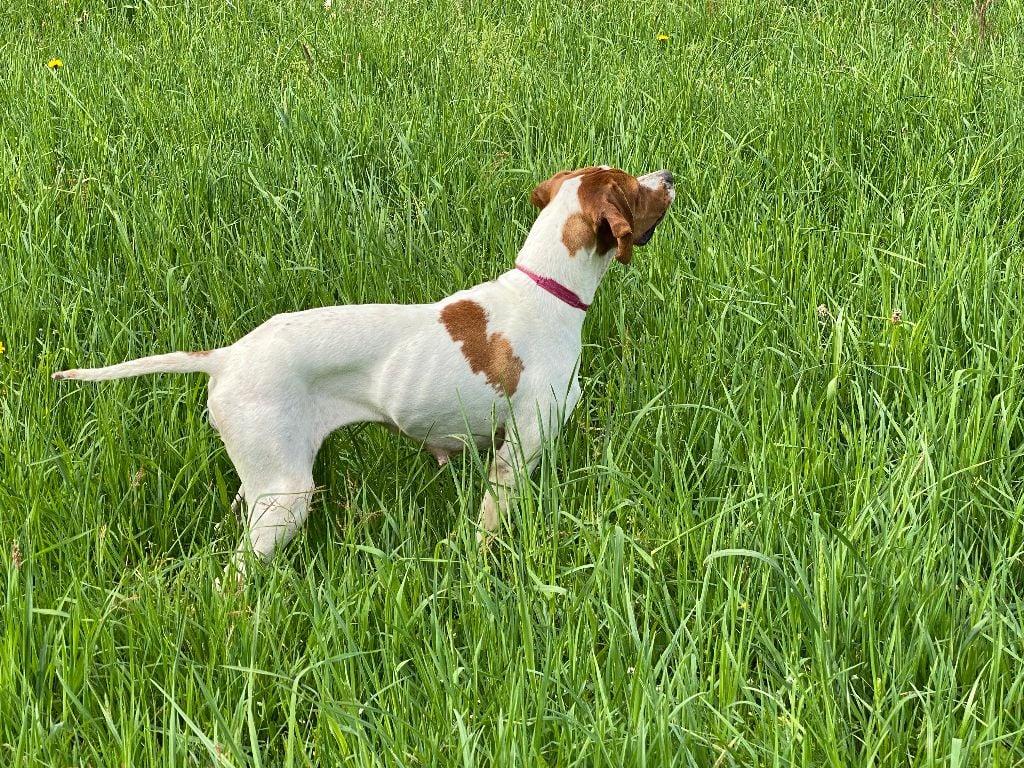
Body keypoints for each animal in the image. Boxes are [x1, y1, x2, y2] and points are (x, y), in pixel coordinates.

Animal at [53, 166, 675, 578]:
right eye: (634, 188)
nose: (667, 175)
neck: (546, 289)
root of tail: (229, 354)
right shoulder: (515, 454)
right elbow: (486, 532)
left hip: (265, 483)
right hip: (284, 499)